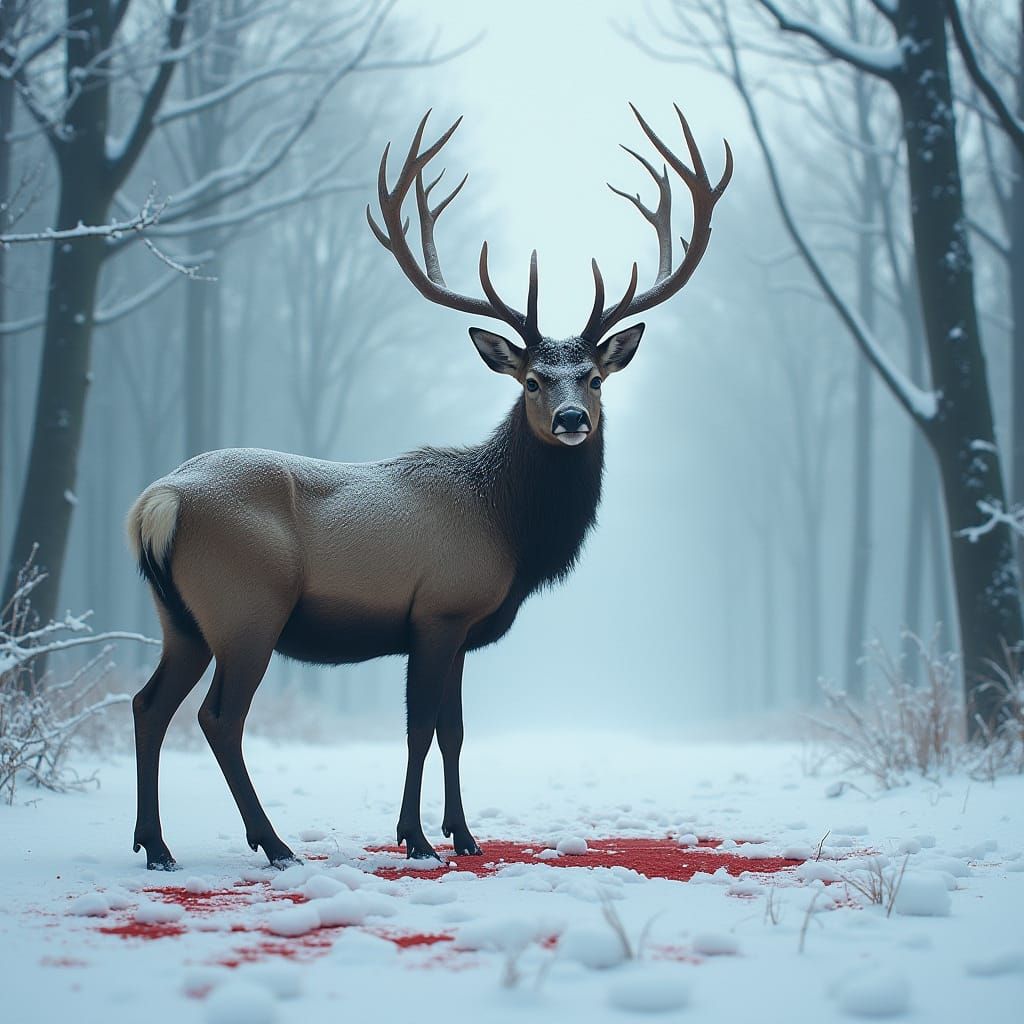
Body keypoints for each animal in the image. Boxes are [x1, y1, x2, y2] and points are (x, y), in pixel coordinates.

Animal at [126, 105, 732, 869]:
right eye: (533, 380)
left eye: (594, 377)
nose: (572, 420)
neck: (508, 530)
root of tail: (158, 504)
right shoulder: (440, 608)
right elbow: (420, 729)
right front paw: (415, 838)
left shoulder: (464, 626)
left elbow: (454, 731)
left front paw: (464, 835)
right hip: (246, 606)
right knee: (218, 716)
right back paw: (273, 842)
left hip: (179, 615)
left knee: (149, 705)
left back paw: (156, 843)